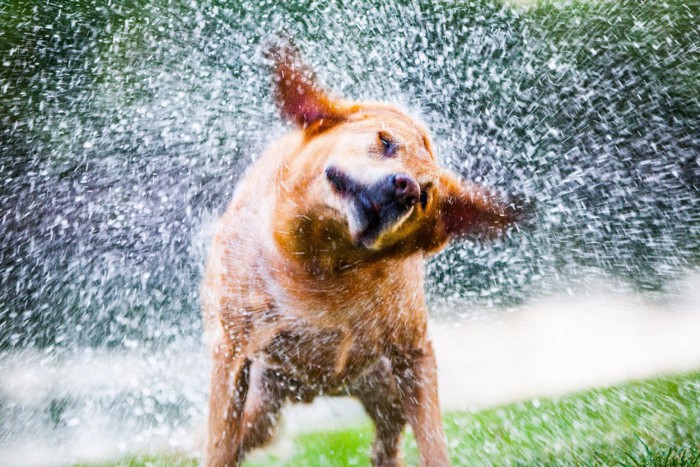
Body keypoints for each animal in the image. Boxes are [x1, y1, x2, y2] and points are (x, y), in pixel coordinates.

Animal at [202, 44, 520, 467]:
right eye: (386, 142)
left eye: (425, 196)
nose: (406, 188)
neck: (321, 265)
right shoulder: (233, 352)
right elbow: (220, 445)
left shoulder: (414, 355)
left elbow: (433, 440)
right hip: (262, 404)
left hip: (383, 388)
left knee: (388, 440)